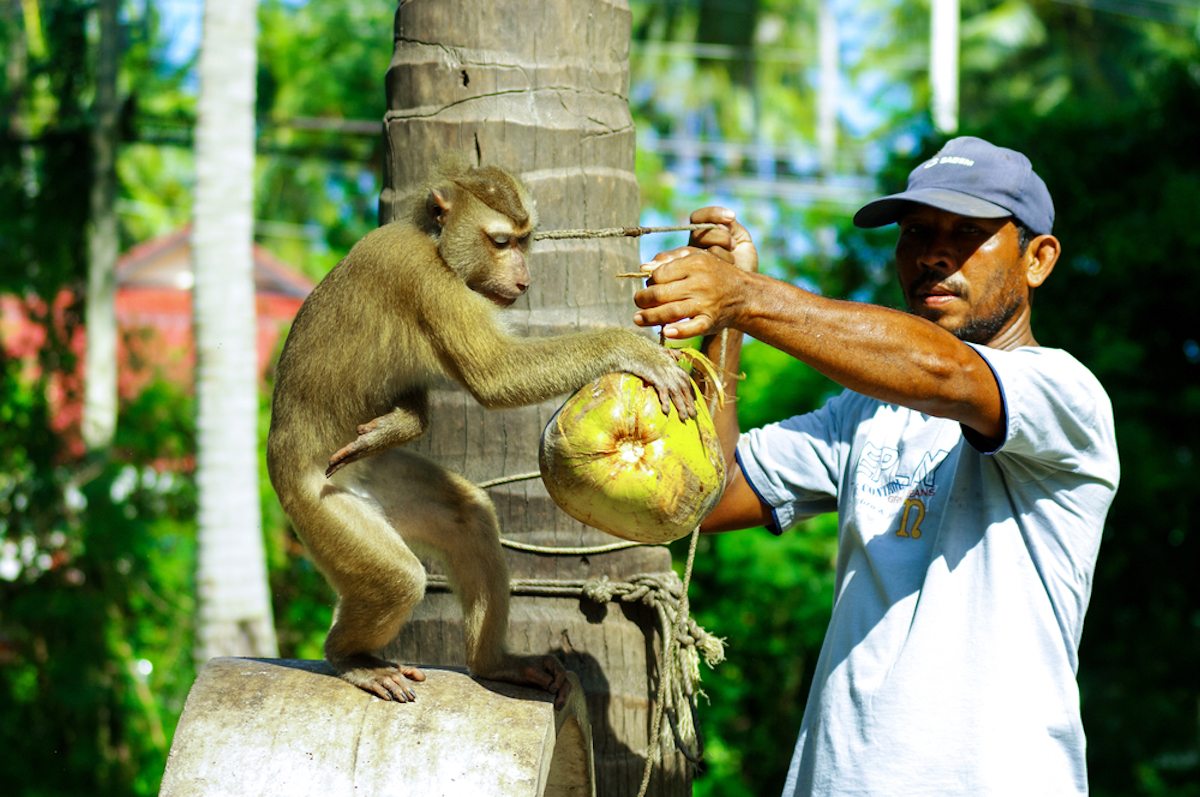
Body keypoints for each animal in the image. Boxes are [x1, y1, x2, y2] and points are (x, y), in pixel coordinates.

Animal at [266, 159, 696, 707]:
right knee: (399, 579)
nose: (525, 279)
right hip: (315, 504)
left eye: (524, 242)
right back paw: (351, 658)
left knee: (467, 516)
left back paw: (493, 663)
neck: (433, 244)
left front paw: (400, 423)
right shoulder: (422, 278)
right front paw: (630, 348)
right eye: (501, 242)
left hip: (374, 482)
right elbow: (494, 374)